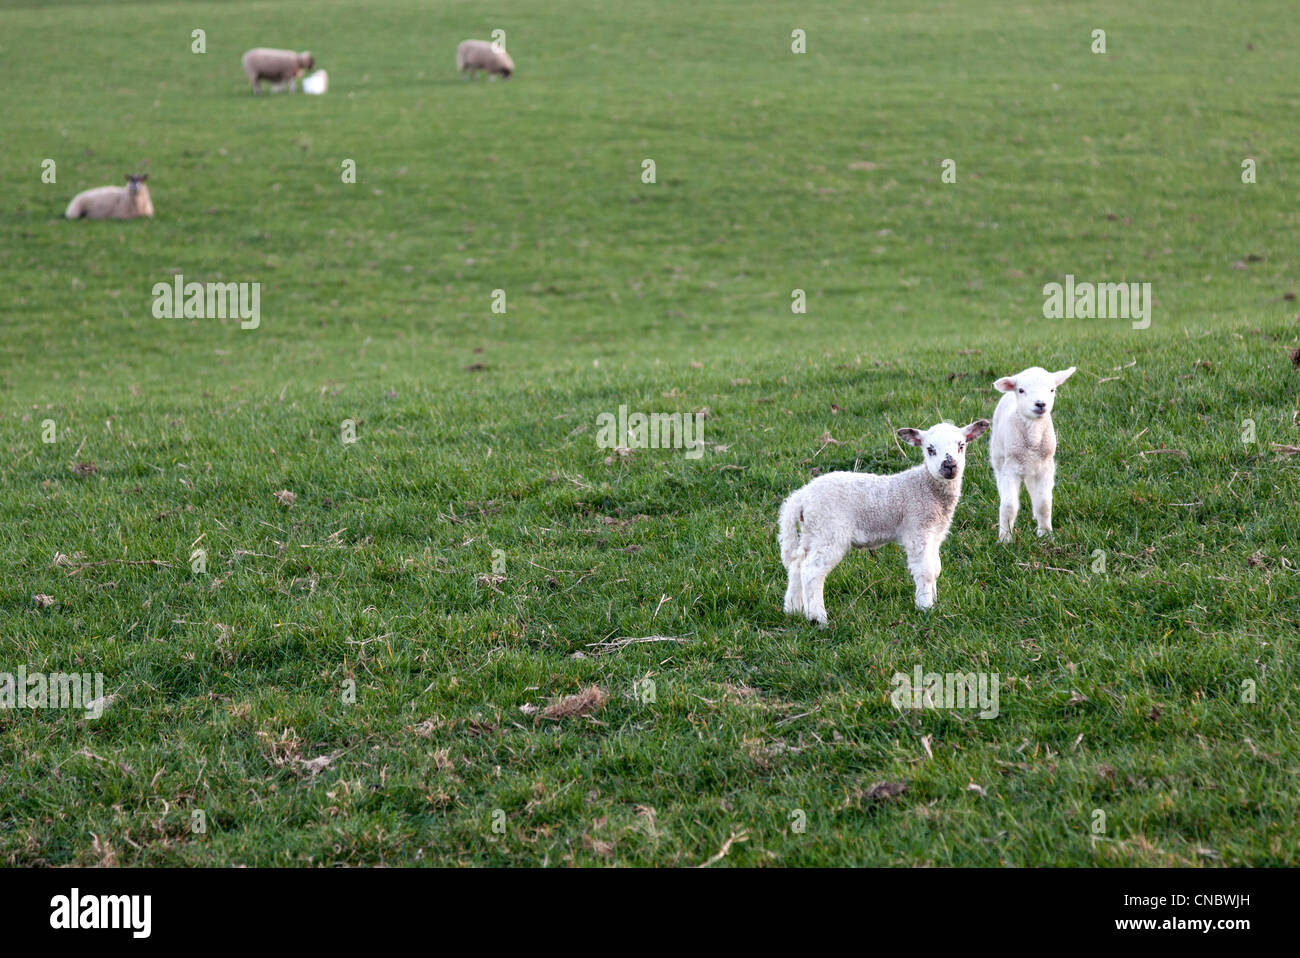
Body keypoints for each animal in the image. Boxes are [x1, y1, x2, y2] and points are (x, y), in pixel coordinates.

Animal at [774, 415, 987, 623]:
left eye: (961, 446)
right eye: (930, 449)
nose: (950, 466)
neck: (926, 488)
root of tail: (802, 496)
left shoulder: (935, 533)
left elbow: (935, 569)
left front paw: (934, 602)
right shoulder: (917, 530)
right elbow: (925, 571)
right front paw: (925, 608)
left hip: (812, 532)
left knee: (797, 563)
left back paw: (793, 610)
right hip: (830, 532)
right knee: (812, 570)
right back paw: (818, 618)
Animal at [987, 361, 1081, 538]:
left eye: (1052, 390)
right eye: (1021, 390)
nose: (1040, 404)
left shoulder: (1045, 468)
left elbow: (1043, 503)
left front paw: (1045, 533)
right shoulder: (1011, 469)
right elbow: (1009, 506)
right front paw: (1005, 537)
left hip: (1033, 469)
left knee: (1032, 490)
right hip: (998, 457)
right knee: (1000, 483)